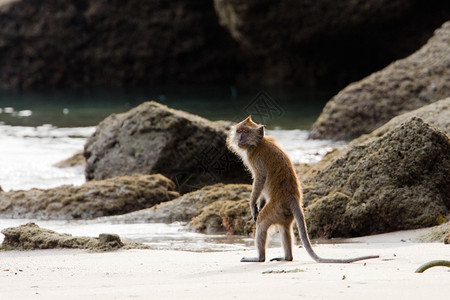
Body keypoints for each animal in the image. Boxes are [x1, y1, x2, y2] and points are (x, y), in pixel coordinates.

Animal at [227, 116, 378, 264]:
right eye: (239, 131)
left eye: (245, 132)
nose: (239, 138)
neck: (258, 143)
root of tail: (292, 198)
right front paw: (260, 204)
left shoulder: (255, 158)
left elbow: (260, 179)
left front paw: (253, 205)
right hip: (283, 212)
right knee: (284, 228)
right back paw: (287, 257)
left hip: (276, 208)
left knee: (262, 221)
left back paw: (259, 258)